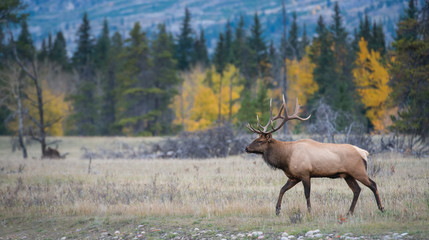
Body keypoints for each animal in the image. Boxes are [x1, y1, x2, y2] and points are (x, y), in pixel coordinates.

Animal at [244, 95, 384, 216]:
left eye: (260, 141)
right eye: (256, 138)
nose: (246, 148)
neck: (286, 159)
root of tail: (364, 152)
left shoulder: (305, 173)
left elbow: (307, 194)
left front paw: (310, 211)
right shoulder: (294, 176)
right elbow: (282, 189)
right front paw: (277, 210)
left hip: (358, 171)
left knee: (373, 184)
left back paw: (381, 208)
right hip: (347, 175)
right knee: (357, 190)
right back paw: (349, 212)